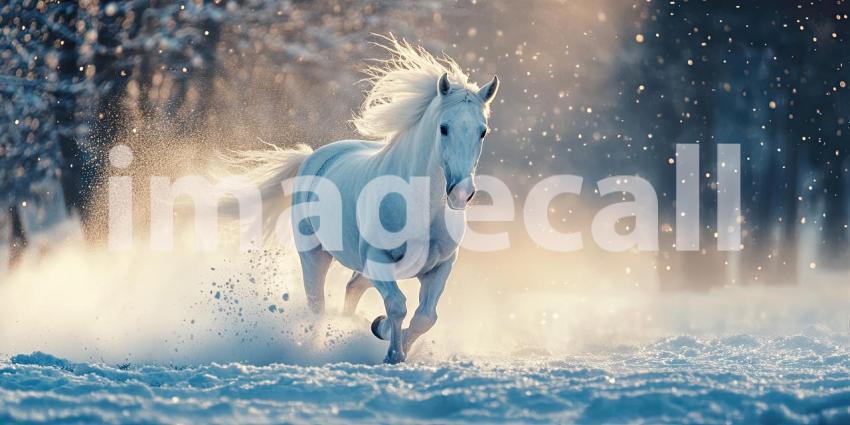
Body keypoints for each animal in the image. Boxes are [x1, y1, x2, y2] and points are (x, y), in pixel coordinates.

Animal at [228, 37, 499, 363]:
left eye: (482, 131)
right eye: (444, 127)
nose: (461, 192)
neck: (419, 208)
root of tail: (313, 157)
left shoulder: (441, 266)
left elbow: (425, 317)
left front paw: (390, 337)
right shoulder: (378, 260)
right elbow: (397, 305)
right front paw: (391, 351)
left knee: (353, 287)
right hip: (314, 255)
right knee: (318, 306)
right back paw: (316, 346)